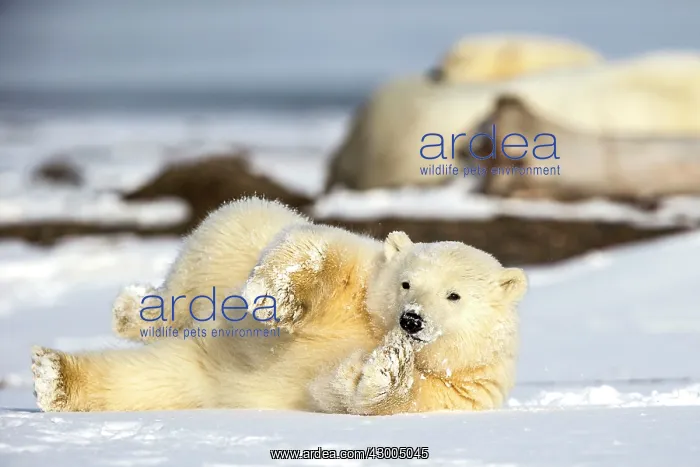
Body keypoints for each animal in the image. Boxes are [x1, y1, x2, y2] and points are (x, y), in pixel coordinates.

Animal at [30, 197, 528, 415]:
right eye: (406, 282)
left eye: (454, 295)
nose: (410, 320)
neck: (373, 328)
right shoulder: (362, 286)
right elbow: (325, 251)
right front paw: (276, 297)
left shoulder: (468, 386)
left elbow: (370, 396)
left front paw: (384, 366)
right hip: (225, 243)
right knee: (184, 292)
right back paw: (131, 309)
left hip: (195, 376)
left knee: (142, 382)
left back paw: (55, 378)